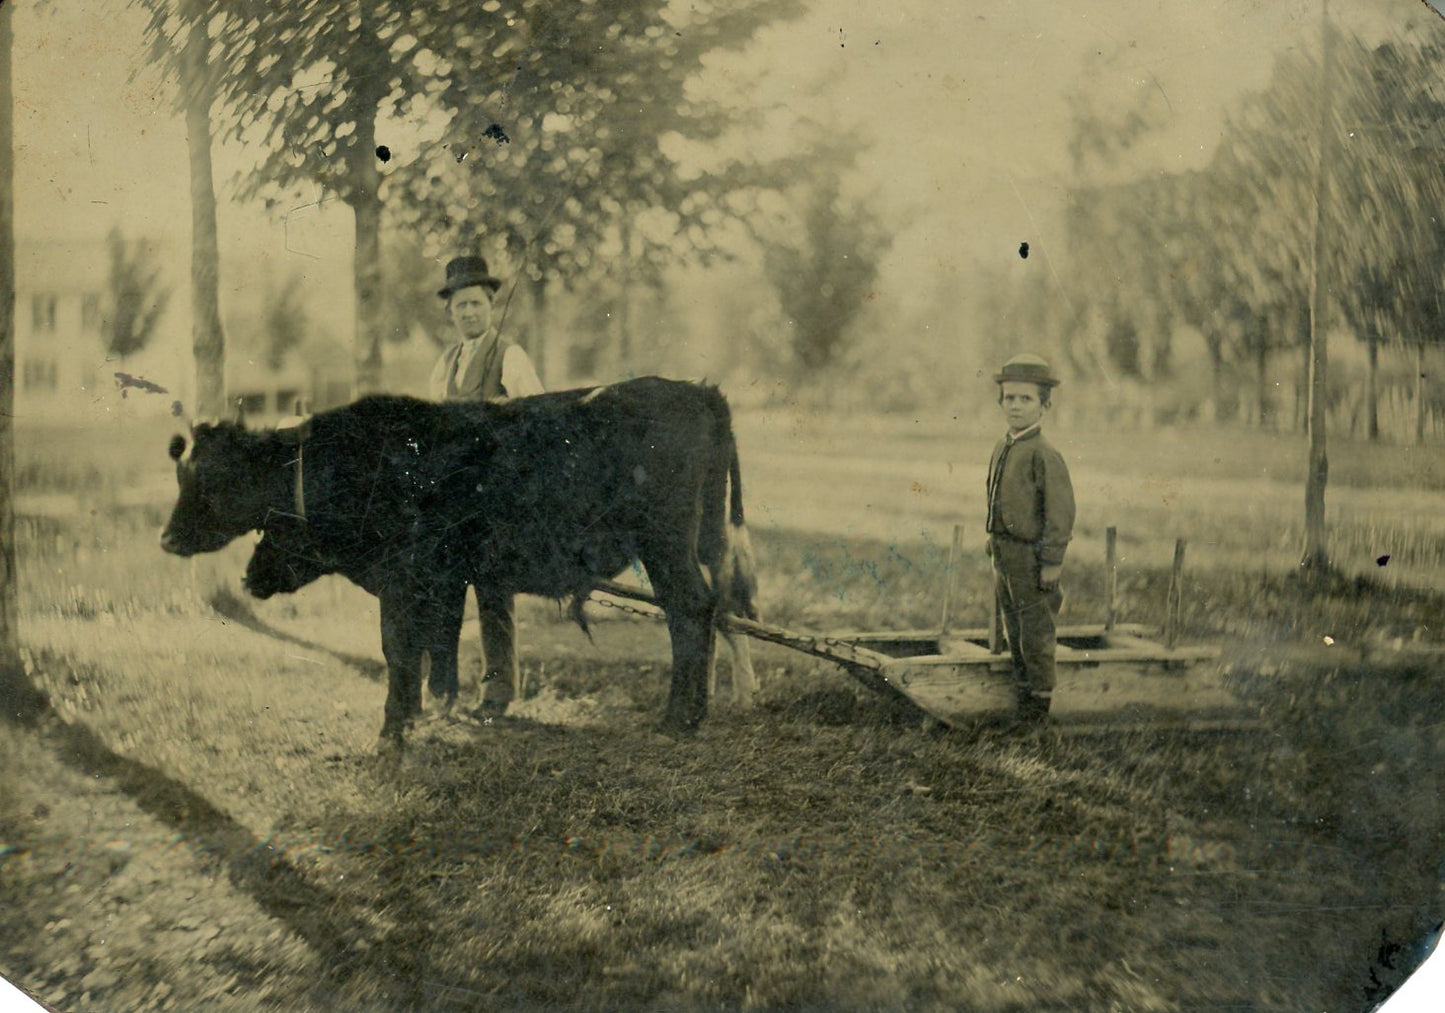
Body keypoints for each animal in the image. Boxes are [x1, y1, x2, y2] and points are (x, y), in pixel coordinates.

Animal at [160, 378, 757, 746]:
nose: (165, 539)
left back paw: (680, 718)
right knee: (716, 612)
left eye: (209, 478)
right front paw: (435, 711)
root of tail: (696, 389)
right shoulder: (443, 577)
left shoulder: (402, 577)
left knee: (691, 611)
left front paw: (393, 731)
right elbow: (439, 644)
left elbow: (400, 648)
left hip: (665, 543)